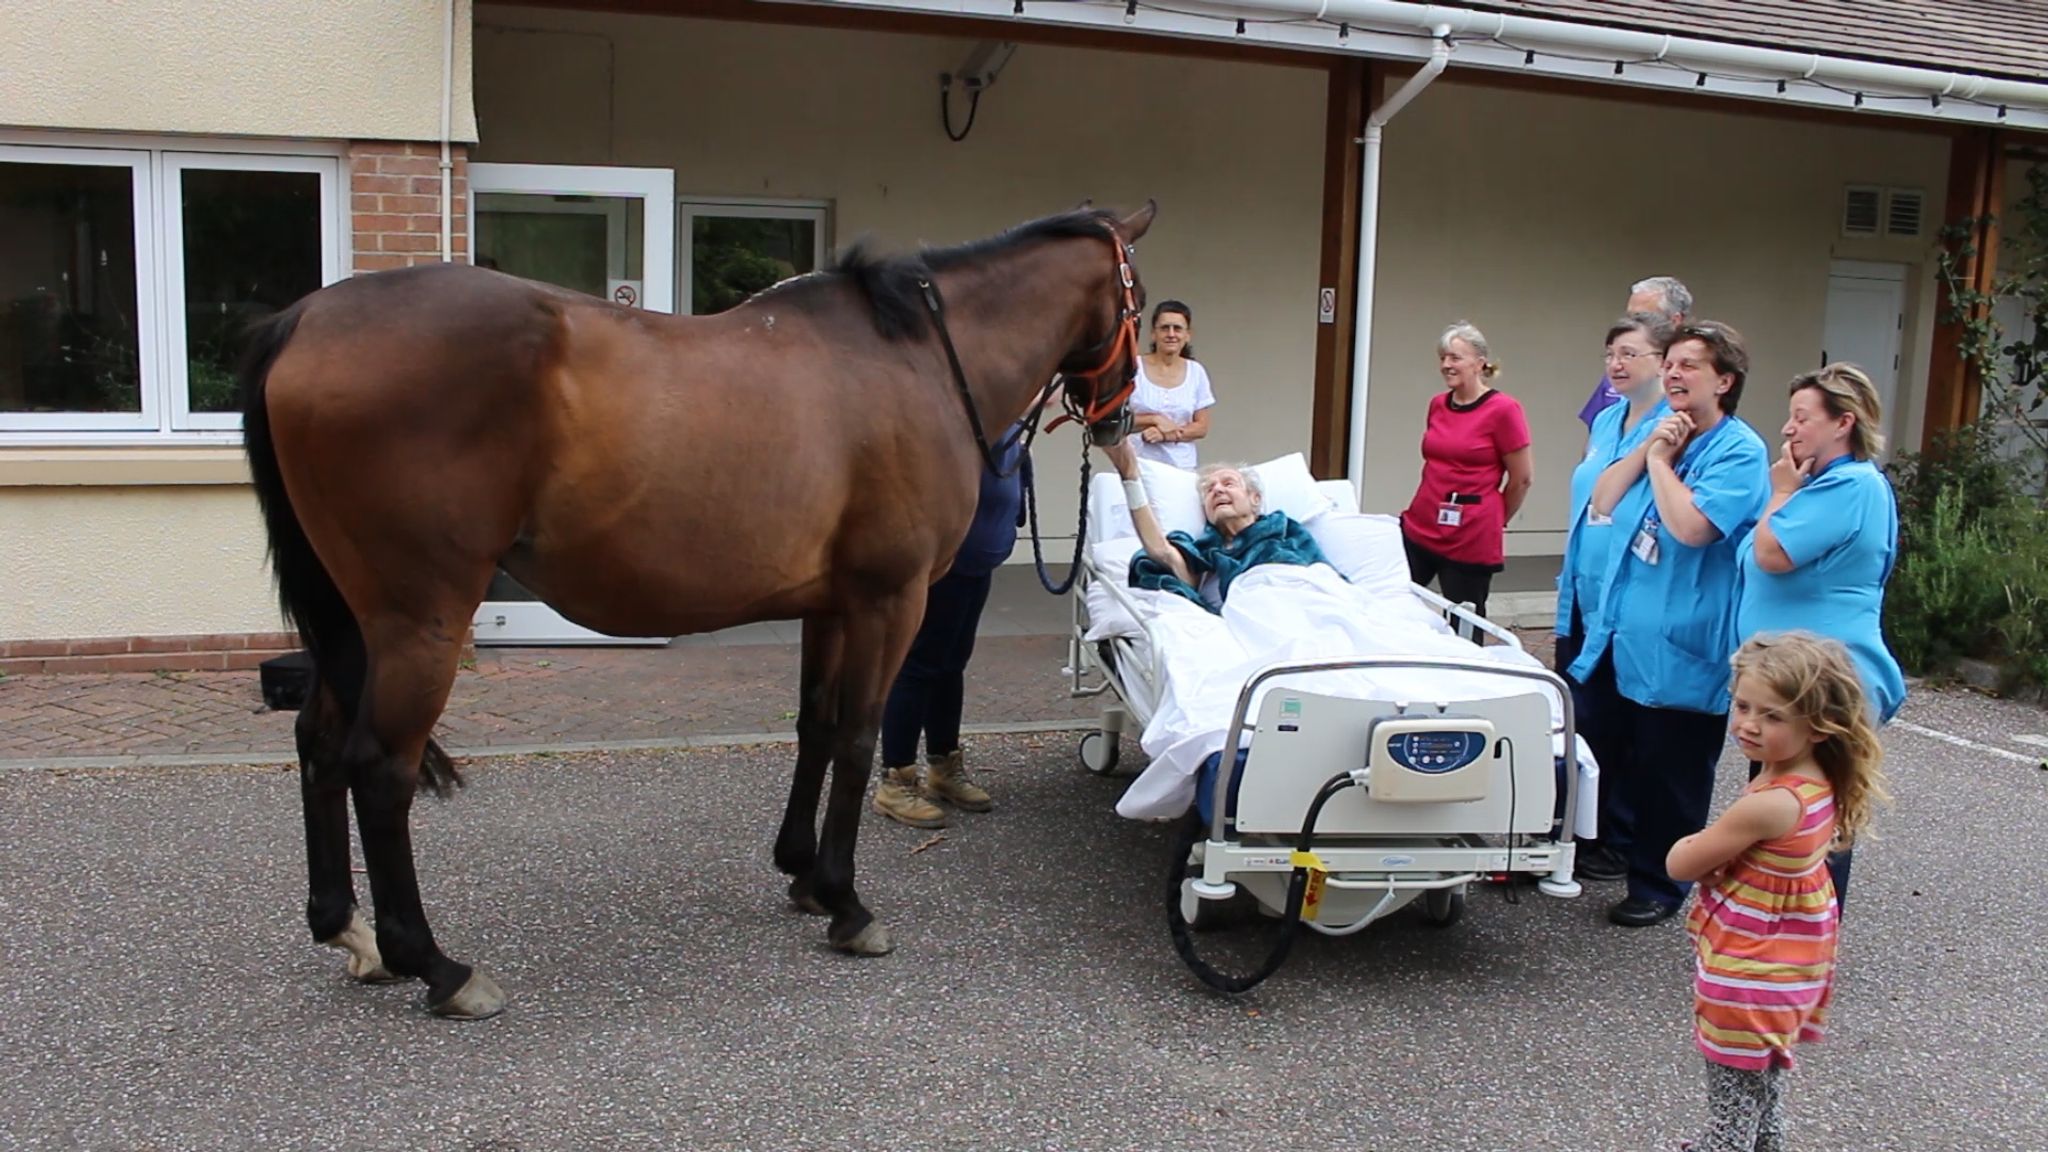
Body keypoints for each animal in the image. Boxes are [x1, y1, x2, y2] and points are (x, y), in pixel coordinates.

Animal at [238, 202, 1156, 1019]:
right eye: (1138, 300)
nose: (1123, 415)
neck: (919, 359)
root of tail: (307, 320)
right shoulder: (888, 600)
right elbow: (858, 737)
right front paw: (847, 903)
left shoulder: (830, 605)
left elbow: (816, 726)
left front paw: (802, 874)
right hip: (416, 620)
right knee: (380, 769)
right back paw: (435, 965)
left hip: (352, 624)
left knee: (318, 744)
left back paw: (349, 932)